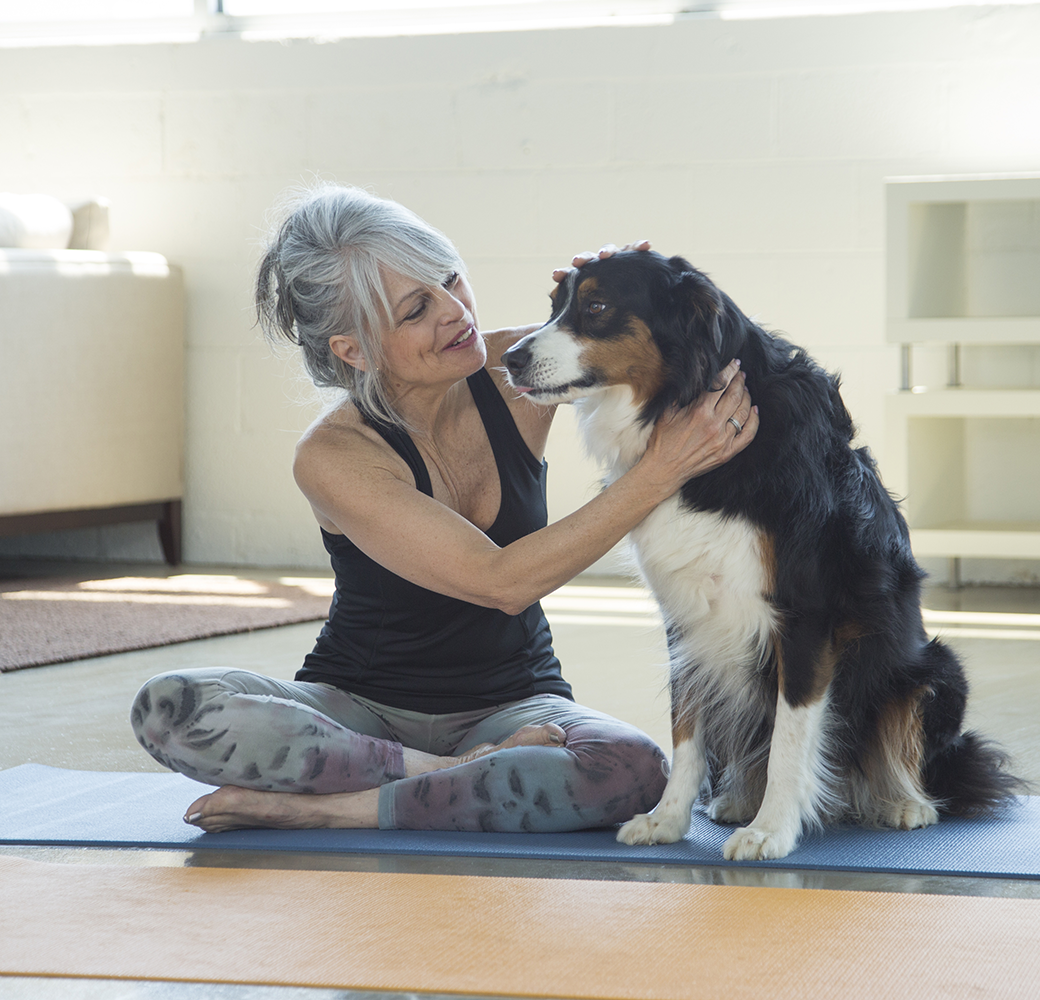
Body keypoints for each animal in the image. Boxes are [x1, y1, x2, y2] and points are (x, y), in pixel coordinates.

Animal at [503, 249, 1023, 856]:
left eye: (596, 307)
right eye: (554, 306)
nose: (509, 358)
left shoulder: (805, 616)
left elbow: (790, 739)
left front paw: (772, 830)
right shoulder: (685, 616)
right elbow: (686, 728)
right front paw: (667, 820)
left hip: (936, 670)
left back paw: (903, 803)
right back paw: (738, 799)